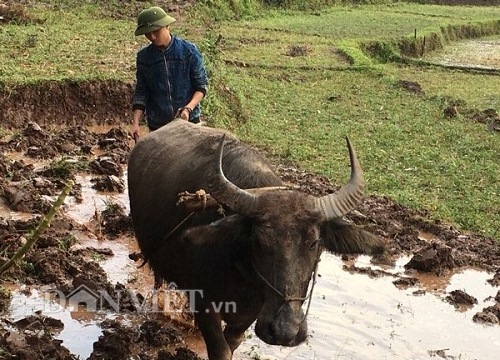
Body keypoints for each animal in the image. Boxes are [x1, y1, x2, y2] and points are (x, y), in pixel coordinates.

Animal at [127, 120, 384, 360]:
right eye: (260, 243)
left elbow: (234, 341)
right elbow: (220, 349)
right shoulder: (204, 302)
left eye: (313, 244)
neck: (241, 273)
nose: (284, 331)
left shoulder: (252, 312)